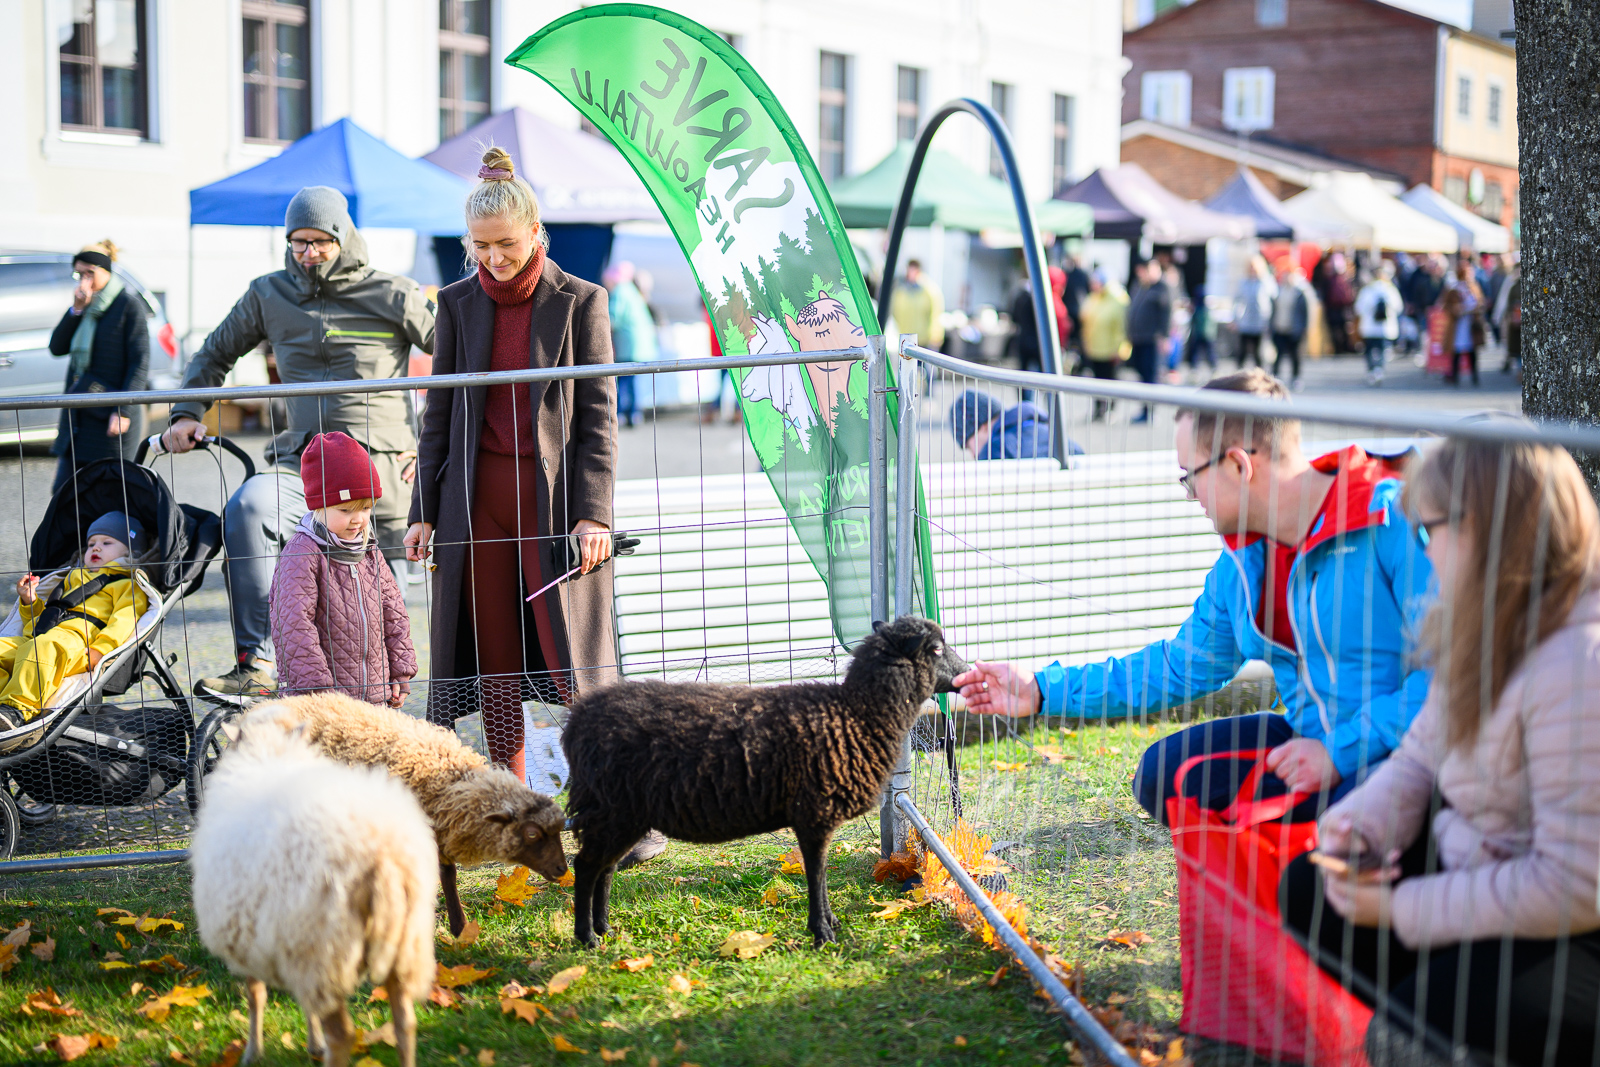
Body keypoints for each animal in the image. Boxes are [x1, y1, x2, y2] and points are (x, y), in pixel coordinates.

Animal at [192, 716, 438, 1067]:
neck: (269, 756)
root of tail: (382, 852)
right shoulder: (283, 941)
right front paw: (312, 1044)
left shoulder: (248, 936)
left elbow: (256, 995)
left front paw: (253, 1052)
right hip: (405, 943)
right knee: (405, 1024)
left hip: (324, 948)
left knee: (344, 1035)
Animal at [563, 617, 960, 953]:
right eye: (936, 649)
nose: (965, 671)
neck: (857, 715)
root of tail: (578, 721)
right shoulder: (814, 814)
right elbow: (817, 873)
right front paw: (822, 932)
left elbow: (820, 874)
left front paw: (829, 923)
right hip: (613, 808)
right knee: (586, 867)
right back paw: (587, 938)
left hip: (622, 813)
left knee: (605, 868)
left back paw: (604, 928)